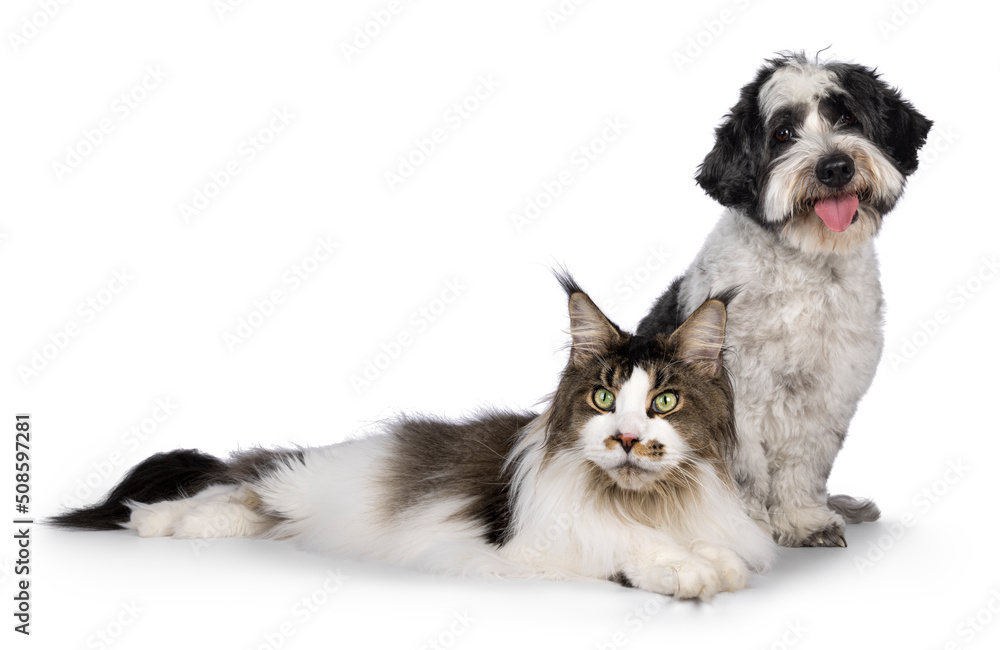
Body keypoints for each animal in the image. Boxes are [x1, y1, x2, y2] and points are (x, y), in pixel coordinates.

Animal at [50, 274, 776, 596]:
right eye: (603, 398)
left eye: (663, 402)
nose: (625, 438)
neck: (649, 501)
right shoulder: (533, 545)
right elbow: (627, 544)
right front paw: (686, 570)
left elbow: (716, 549)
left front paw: (709, 561)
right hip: (302, 482)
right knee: (238, 484)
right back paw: (154, 521)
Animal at [636, 53, 932, 544]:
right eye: (782, 134)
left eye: (846, 117)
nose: (835, 167)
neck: (804, 269)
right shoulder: (735, 399)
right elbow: (744, 475)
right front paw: (746, 531)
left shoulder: (827, 395)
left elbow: (804, 464)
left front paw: (804, 520)